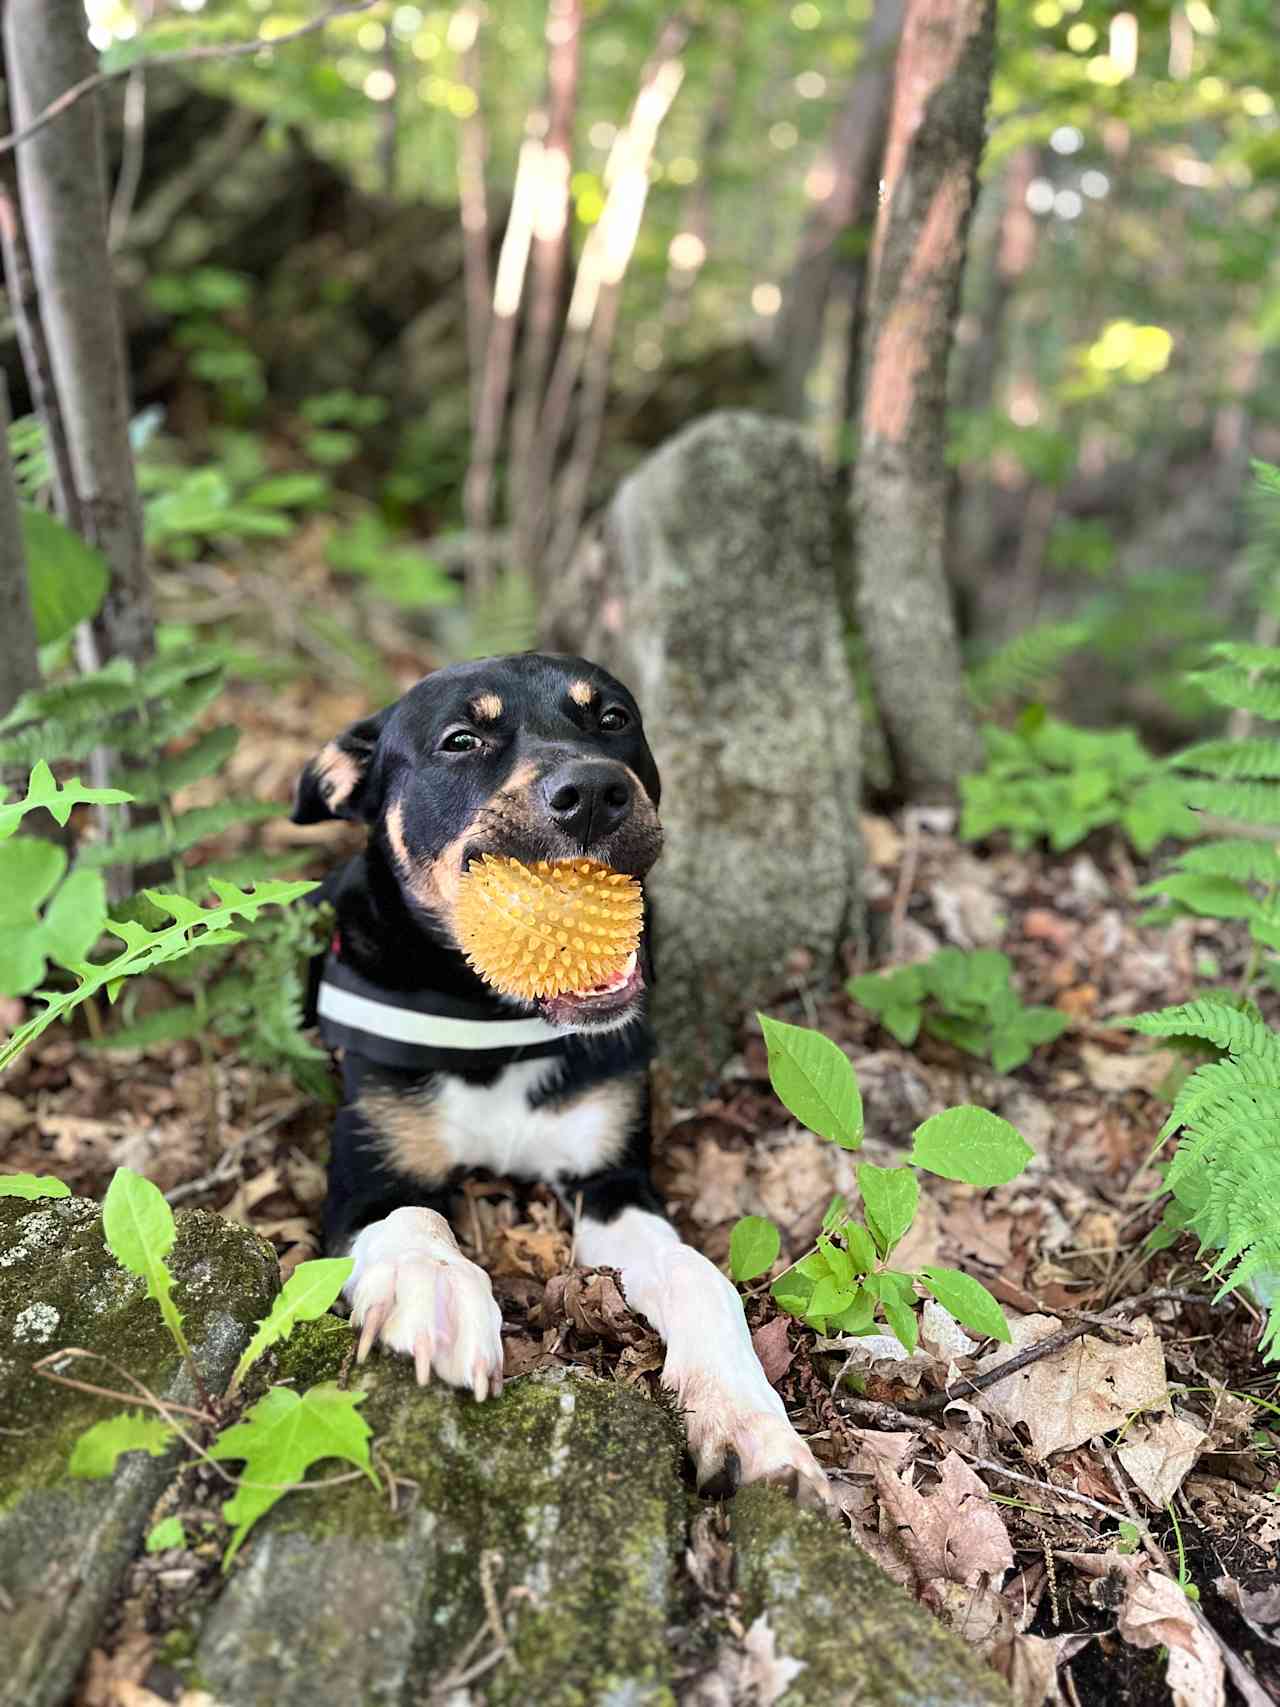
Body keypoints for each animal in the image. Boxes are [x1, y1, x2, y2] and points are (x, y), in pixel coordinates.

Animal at [290, 645, 832, 1502]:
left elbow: (697, 1272)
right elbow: (415, 1220)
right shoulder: (364, 1184)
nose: (594, 794)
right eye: (460, 740)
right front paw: (437, 1290)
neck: (499, 1023)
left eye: (612, 717)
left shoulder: (613, 1183)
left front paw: (750, 1422)